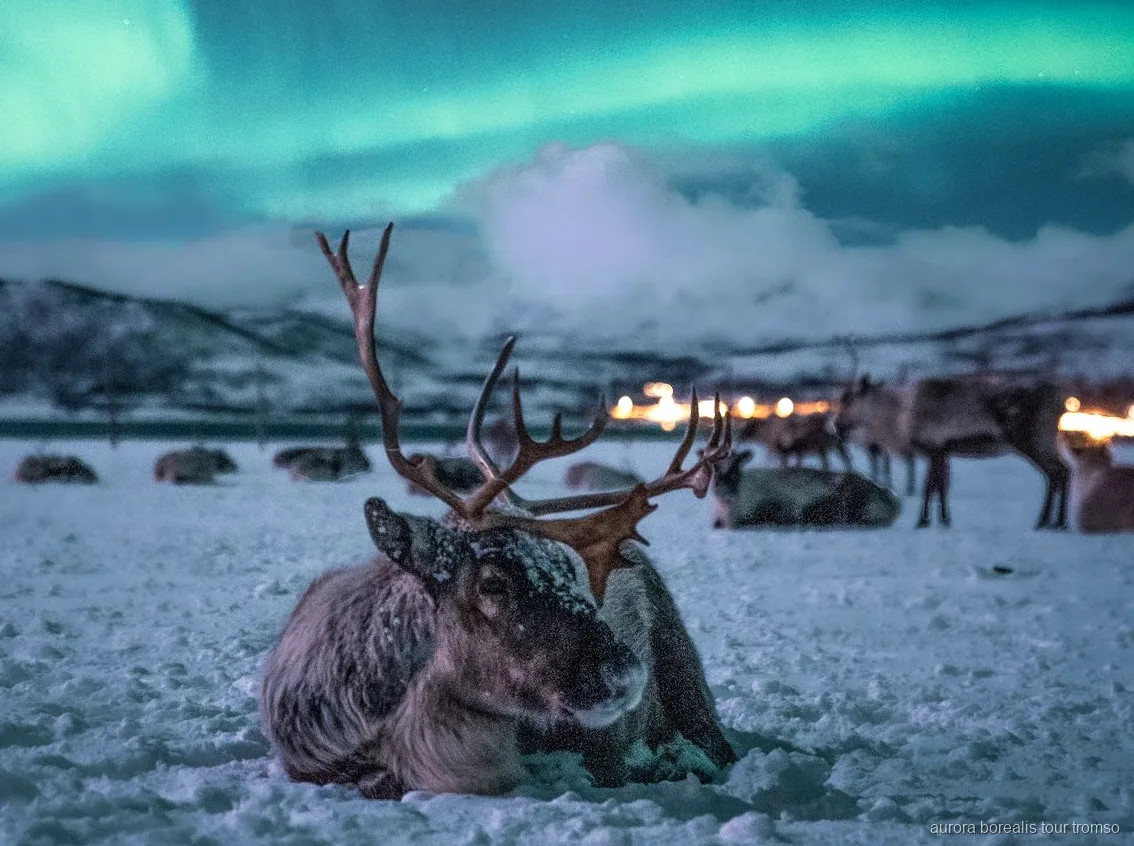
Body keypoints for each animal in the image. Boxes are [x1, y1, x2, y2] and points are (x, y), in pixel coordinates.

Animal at [836, 376, 1067, 528]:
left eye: (848, 400)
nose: (837, 426)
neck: (898, 416)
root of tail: (1060, 403)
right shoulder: (942, 451)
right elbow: (941, 486)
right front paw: (944, 520)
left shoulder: (933, 448)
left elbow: (929, 487)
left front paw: (922, 522)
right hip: (1044, 443)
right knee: (1062, 472)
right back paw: (1057, 522)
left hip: (1030, 440)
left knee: (1056, 473)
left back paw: (1045, 521)